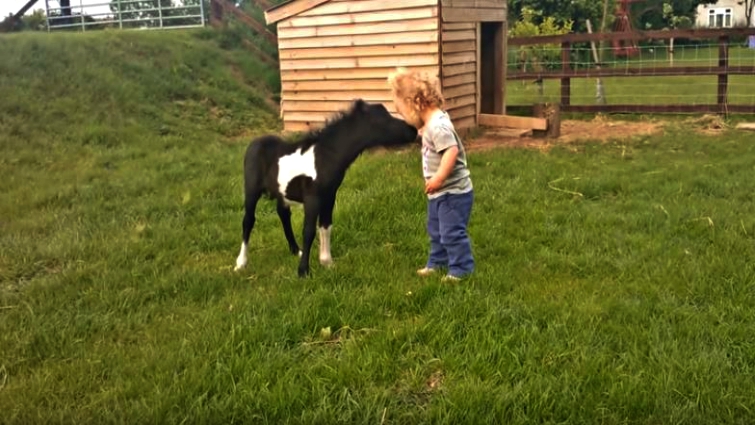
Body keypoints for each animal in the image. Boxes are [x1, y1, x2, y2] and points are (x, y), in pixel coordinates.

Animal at [234, 99, 419, 277]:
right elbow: (309, 231)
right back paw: (241, 263)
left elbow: (325, 226)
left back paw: (295, 250)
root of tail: (254, 143)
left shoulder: (329, 195)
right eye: (383, 119)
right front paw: (303, 271)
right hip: (251, 190)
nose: (413, 130)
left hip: (282, 192)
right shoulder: (312, 198)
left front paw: (327, 263)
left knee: (283, 215)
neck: (326, 156)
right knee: (248, 220)